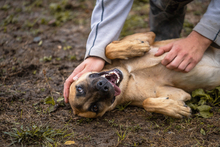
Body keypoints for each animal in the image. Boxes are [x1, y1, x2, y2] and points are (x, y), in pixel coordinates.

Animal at [69, 31, 220, 118]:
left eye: (79, 88)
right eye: (94, 107)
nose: (103, 86)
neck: (128, 76)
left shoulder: (147, 35)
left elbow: (108, 48)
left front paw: (134, 48)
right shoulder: (179, 94)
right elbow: (148, 103)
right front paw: (175, 109)